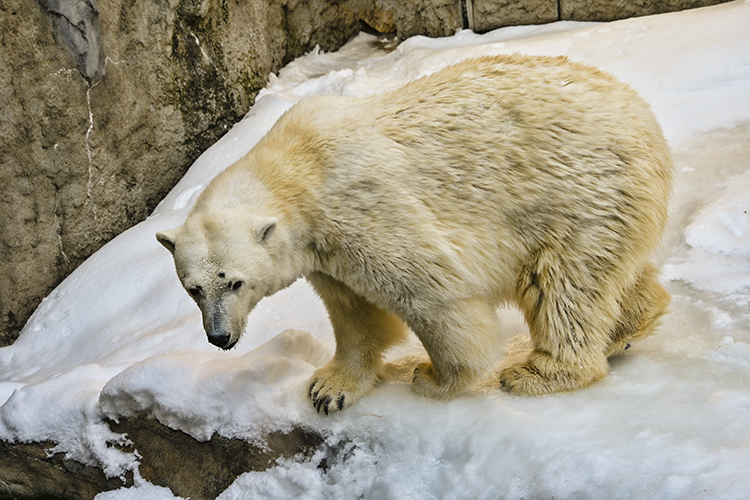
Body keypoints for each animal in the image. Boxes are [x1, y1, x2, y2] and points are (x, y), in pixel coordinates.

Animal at [156, 53, 672, 414]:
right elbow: (354, 313)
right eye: (193, 288)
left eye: (234, 282)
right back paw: (628, 329)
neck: (296, 171)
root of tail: (643, 114)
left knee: (564, 287)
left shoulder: (361, 211)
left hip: (577, 194)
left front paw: (433, 377)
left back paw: (537, 372)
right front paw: (330, 388)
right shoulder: (323, 251)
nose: (219, 337)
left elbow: (432, 295)